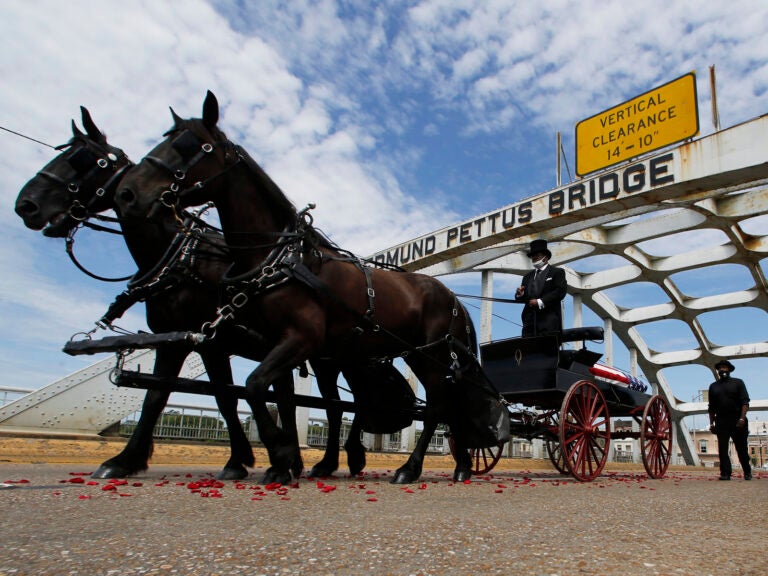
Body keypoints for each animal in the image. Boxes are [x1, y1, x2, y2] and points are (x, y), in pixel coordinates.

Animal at [116, 92, 484, 484]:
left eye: (191, 146)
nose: (127, 193)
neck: (278, 256)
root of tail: (455, 300)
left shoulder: (299, 339)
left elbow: (254, 387)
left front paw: (280, 454)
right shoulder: (267, 344)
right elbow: (267, 396)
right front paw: (286, 458)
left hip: (429, 355)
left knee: (436, 407)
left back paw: (412, 467)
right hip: (413, 355)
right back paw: (459, 464)